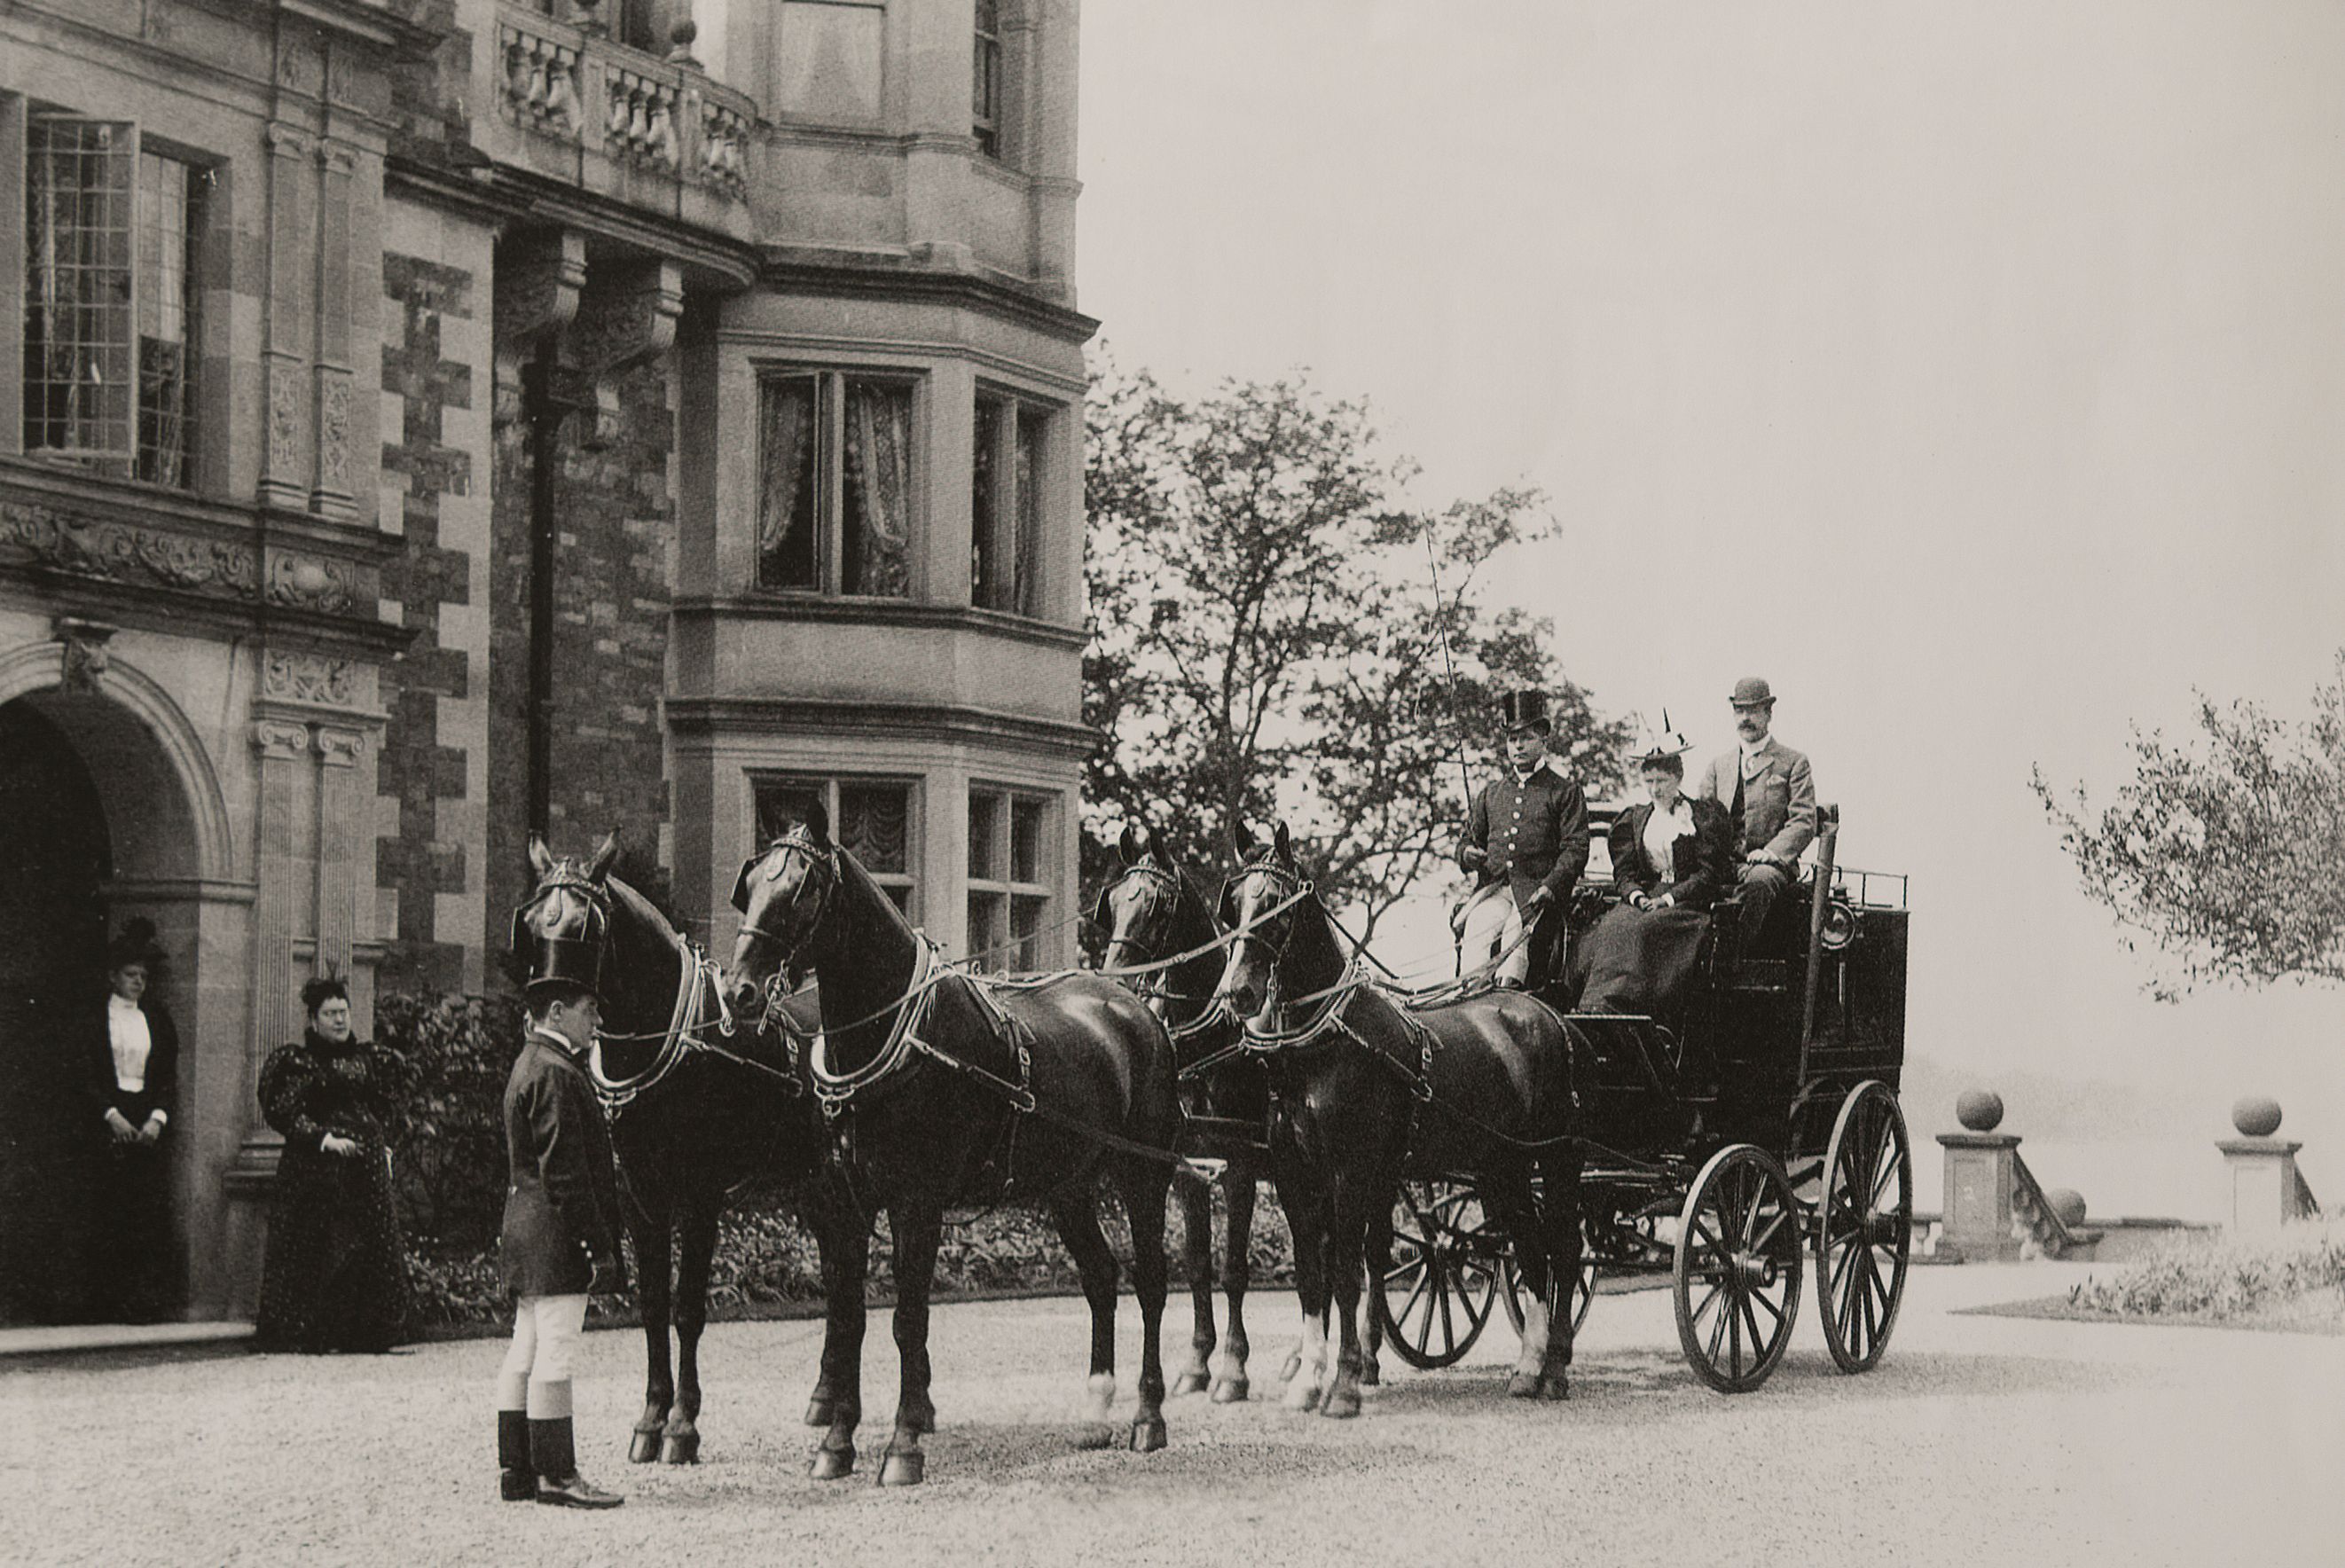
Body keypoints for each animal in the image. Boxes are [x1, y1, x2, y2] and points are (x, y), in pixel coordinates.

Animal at [514, 839, 843, 1462]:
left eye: (589, 927)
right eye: (531, 922)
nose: (545, 1007)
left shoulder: (700, 1195)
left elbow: (688, 1309)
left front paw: (683, 1426)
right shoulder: (643, 1196)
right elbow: (652, 1308)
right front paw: (649, 1420)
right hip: (815, 1184)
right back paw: (826, 1397)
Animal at [722, 806, 1181, 1481]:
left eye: (804, 888)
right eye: (750, 883)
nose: (740, 991)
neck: (898, 1038)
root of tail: (1134, 1007)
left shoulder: (917, 1203)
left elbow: (908, 1320)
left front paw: (903, 1444)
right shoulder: (843, 1204)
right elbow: (848, 1319)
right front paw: (836, 1442)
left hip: (1141, 1174)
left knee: (1149, 1282)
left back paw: (1147, 1418)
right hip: (1068, 1186)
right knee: (1101, 1278)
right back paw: (1096, 1412)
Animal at [1093, 819, 1331, 1406]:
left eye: (1156, 906)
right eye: (1113, 902)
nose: (1114, 980)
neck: (1208, 1043)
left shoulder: (1239, 1167)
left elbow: (1233, 1270)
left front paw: (1232, 1370)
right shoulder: (1189, 1171)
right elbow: (1199, 1266)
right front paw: (1197, 1364)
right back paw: (1300, 1360)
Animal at [1219, 819, 1585, 1406]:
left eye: (1276, 903)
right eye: (1233, 903)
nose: (1238, 993)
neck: (1326, 1045)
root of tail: (1549, 1015)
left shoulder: (1350, 1172)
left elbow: (1348, 1274)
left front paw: (1345, 1379)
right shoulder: (1294, 1175)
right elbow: (1311, 1276)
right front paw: (1308, 1378)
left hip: (1557, 1159)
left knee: (1565, 1250)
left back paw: (1554, 1368)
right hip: (1500, 1168)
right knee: (1531, 1251)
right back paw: (1528, 1368)